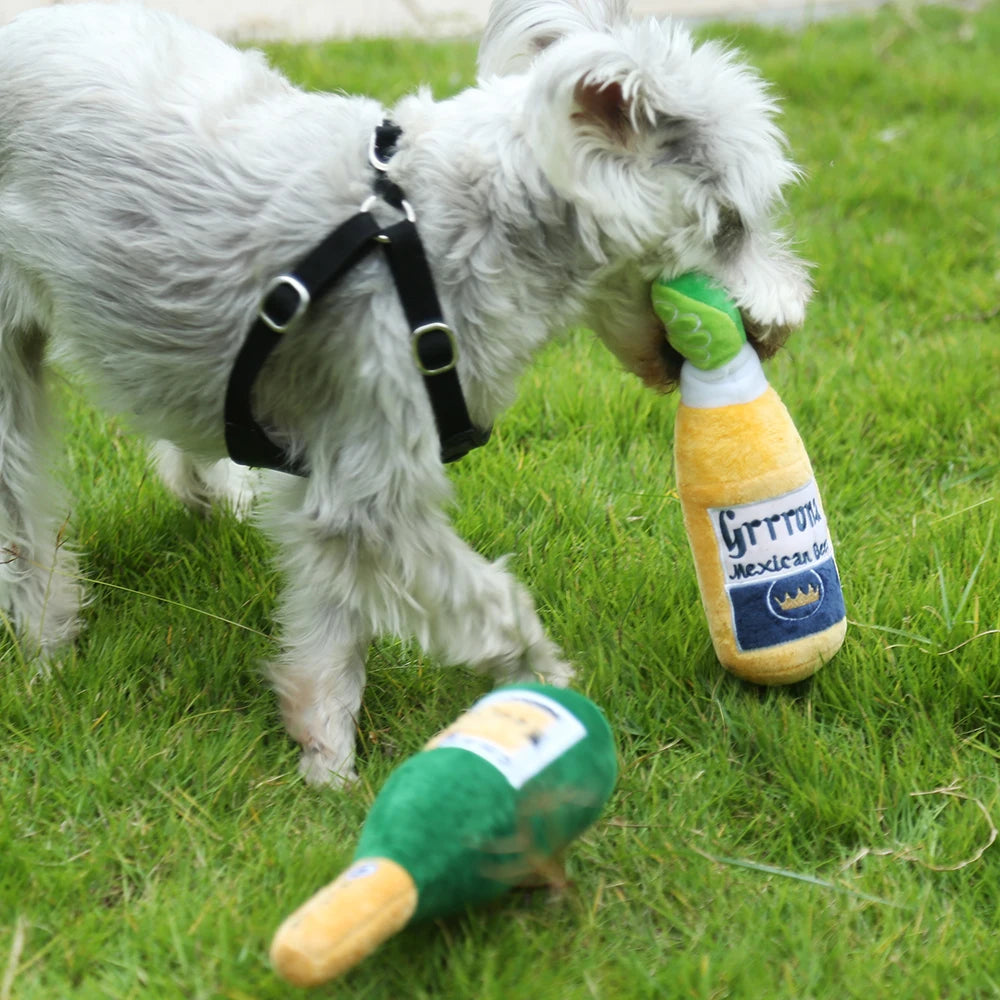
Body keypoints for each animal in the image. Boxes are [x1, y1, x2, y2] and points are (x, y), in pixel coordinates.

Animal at [0, 0, 808, 784]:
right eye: (731, 224)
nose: (786, 324)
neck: (451, 230)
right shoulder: (374, 487)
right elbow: (491, 604)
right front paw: (541, 693)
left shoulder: (335, 487)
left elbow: (332, 628)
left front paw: (325, 754)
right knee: (23, 520)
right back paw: (48, 644)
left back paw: (205, 494)